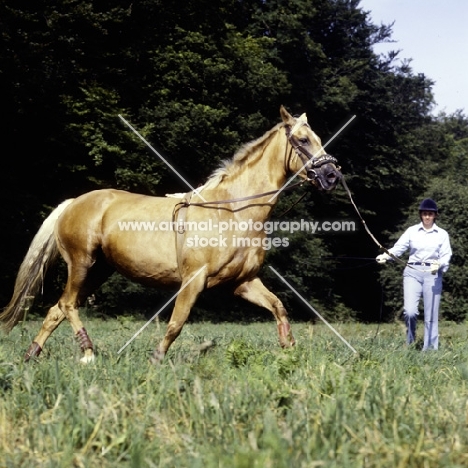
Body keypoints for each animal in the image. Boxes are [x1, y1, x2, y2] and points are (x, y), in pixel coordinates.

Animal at [1, 106, 342, 362]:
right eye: (302, 140)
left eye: (318, 138)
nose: (332, 175)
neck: (233, 210)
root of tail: (73, 203)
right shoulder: (194, 279)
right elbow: (177, 323)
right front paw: (156, 359)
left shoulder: (243, 282)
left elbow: (278, 307)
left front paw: (289, 348)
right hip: (81, 263)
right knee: (68, 305)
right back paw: (87, 352)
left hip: (98, 271)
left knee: (56, 309)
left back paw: (32, 355)